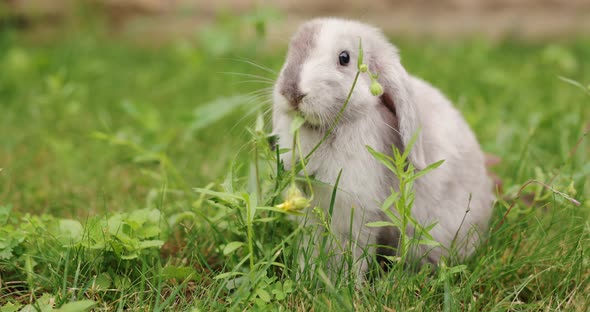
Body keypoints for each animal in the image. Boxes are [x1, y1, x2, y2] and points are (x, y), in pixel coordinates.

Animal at [272, 18, 494, 280]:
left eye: (344, 58)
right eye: (291, 51)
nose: (291, 92)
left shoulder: (357, 213)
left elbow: (352, 256)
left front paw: (346, 282)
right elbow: (311, 248)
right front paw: (303, 276)